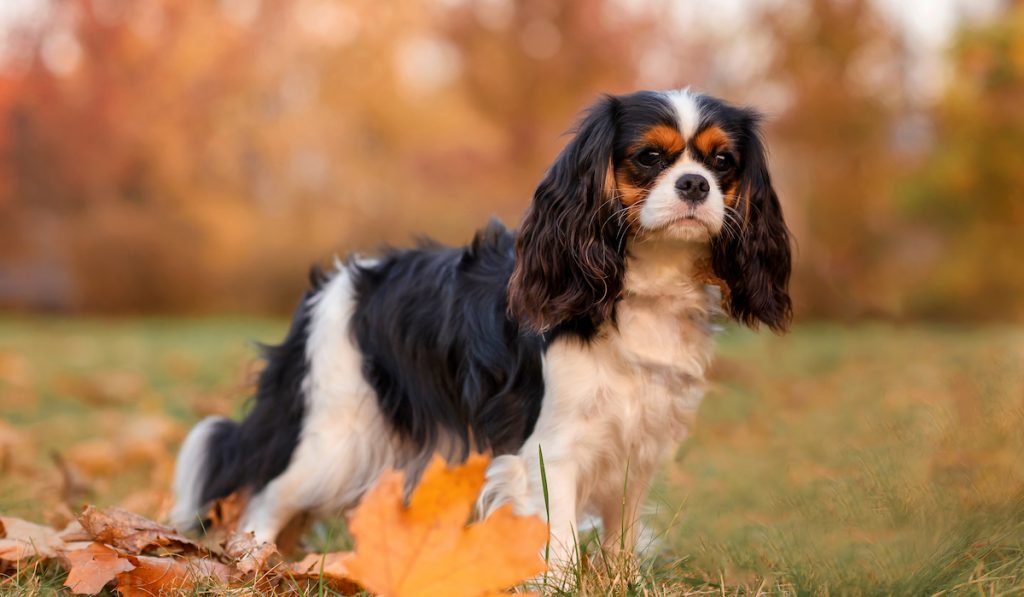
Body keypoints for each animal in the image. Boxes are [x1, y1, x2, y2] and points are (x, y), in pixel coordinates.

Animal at [169, 87, 790, 561]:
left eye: (722, 163)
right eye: (648, 158)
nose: (694, 185)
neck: (641, 285)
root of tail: (332, 286)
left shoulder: (635, 449)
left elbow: (622, 538)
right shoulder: (551, 452)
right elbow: (560, 540)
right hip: (333, 440)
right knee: (266, 496)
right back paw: (252, 560)